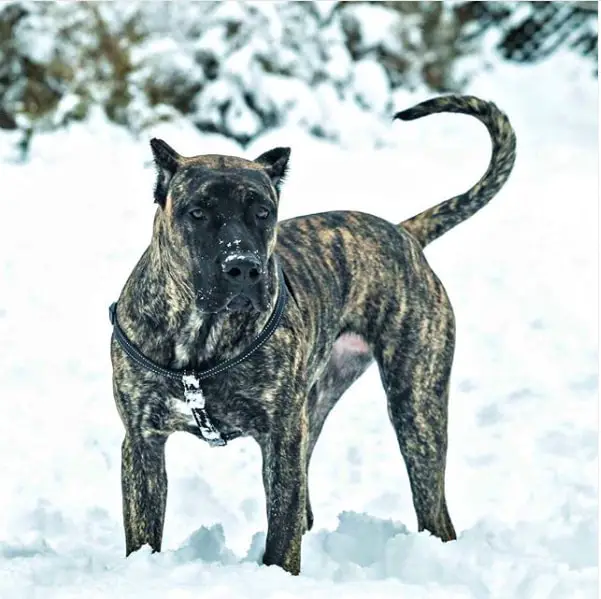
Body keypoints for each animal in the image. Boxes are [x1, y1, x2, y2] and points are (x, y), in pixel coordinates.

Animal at [111, 95, 516, 576]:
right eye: (198, 212)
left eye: (263, 212)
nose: (242, 266)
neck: (201, 331)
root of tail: (403, 233)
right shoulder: (142, 441)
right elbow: (144, 530)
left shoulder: (281, 437)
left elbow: (282, 529)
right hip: (319, 400)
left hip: (416, 407)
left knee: (432, 505)